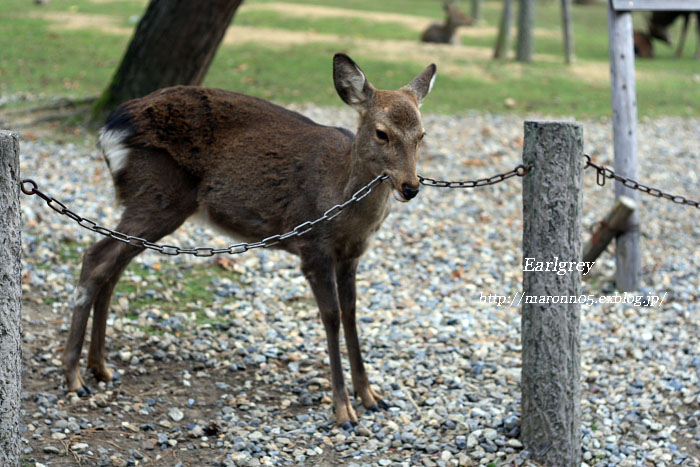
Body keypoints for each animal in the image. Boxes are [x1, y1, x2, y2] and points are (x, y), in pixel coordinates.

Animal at [64, 53, 438, 430]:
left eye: (422, 135)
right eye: (382, 133)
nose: (410, 187)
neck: (341, 200)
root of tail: (111, 128)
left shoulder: (353, 254)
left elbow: (351, 313)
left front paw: (372, 397)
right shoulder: (313, 246)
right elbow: (331, 317)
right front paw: (344, 411)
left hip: (151, 204)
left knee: (112, 268)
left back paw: (101, 368)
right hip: (158, 194)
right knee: (95, 258)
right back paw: (74, 377)